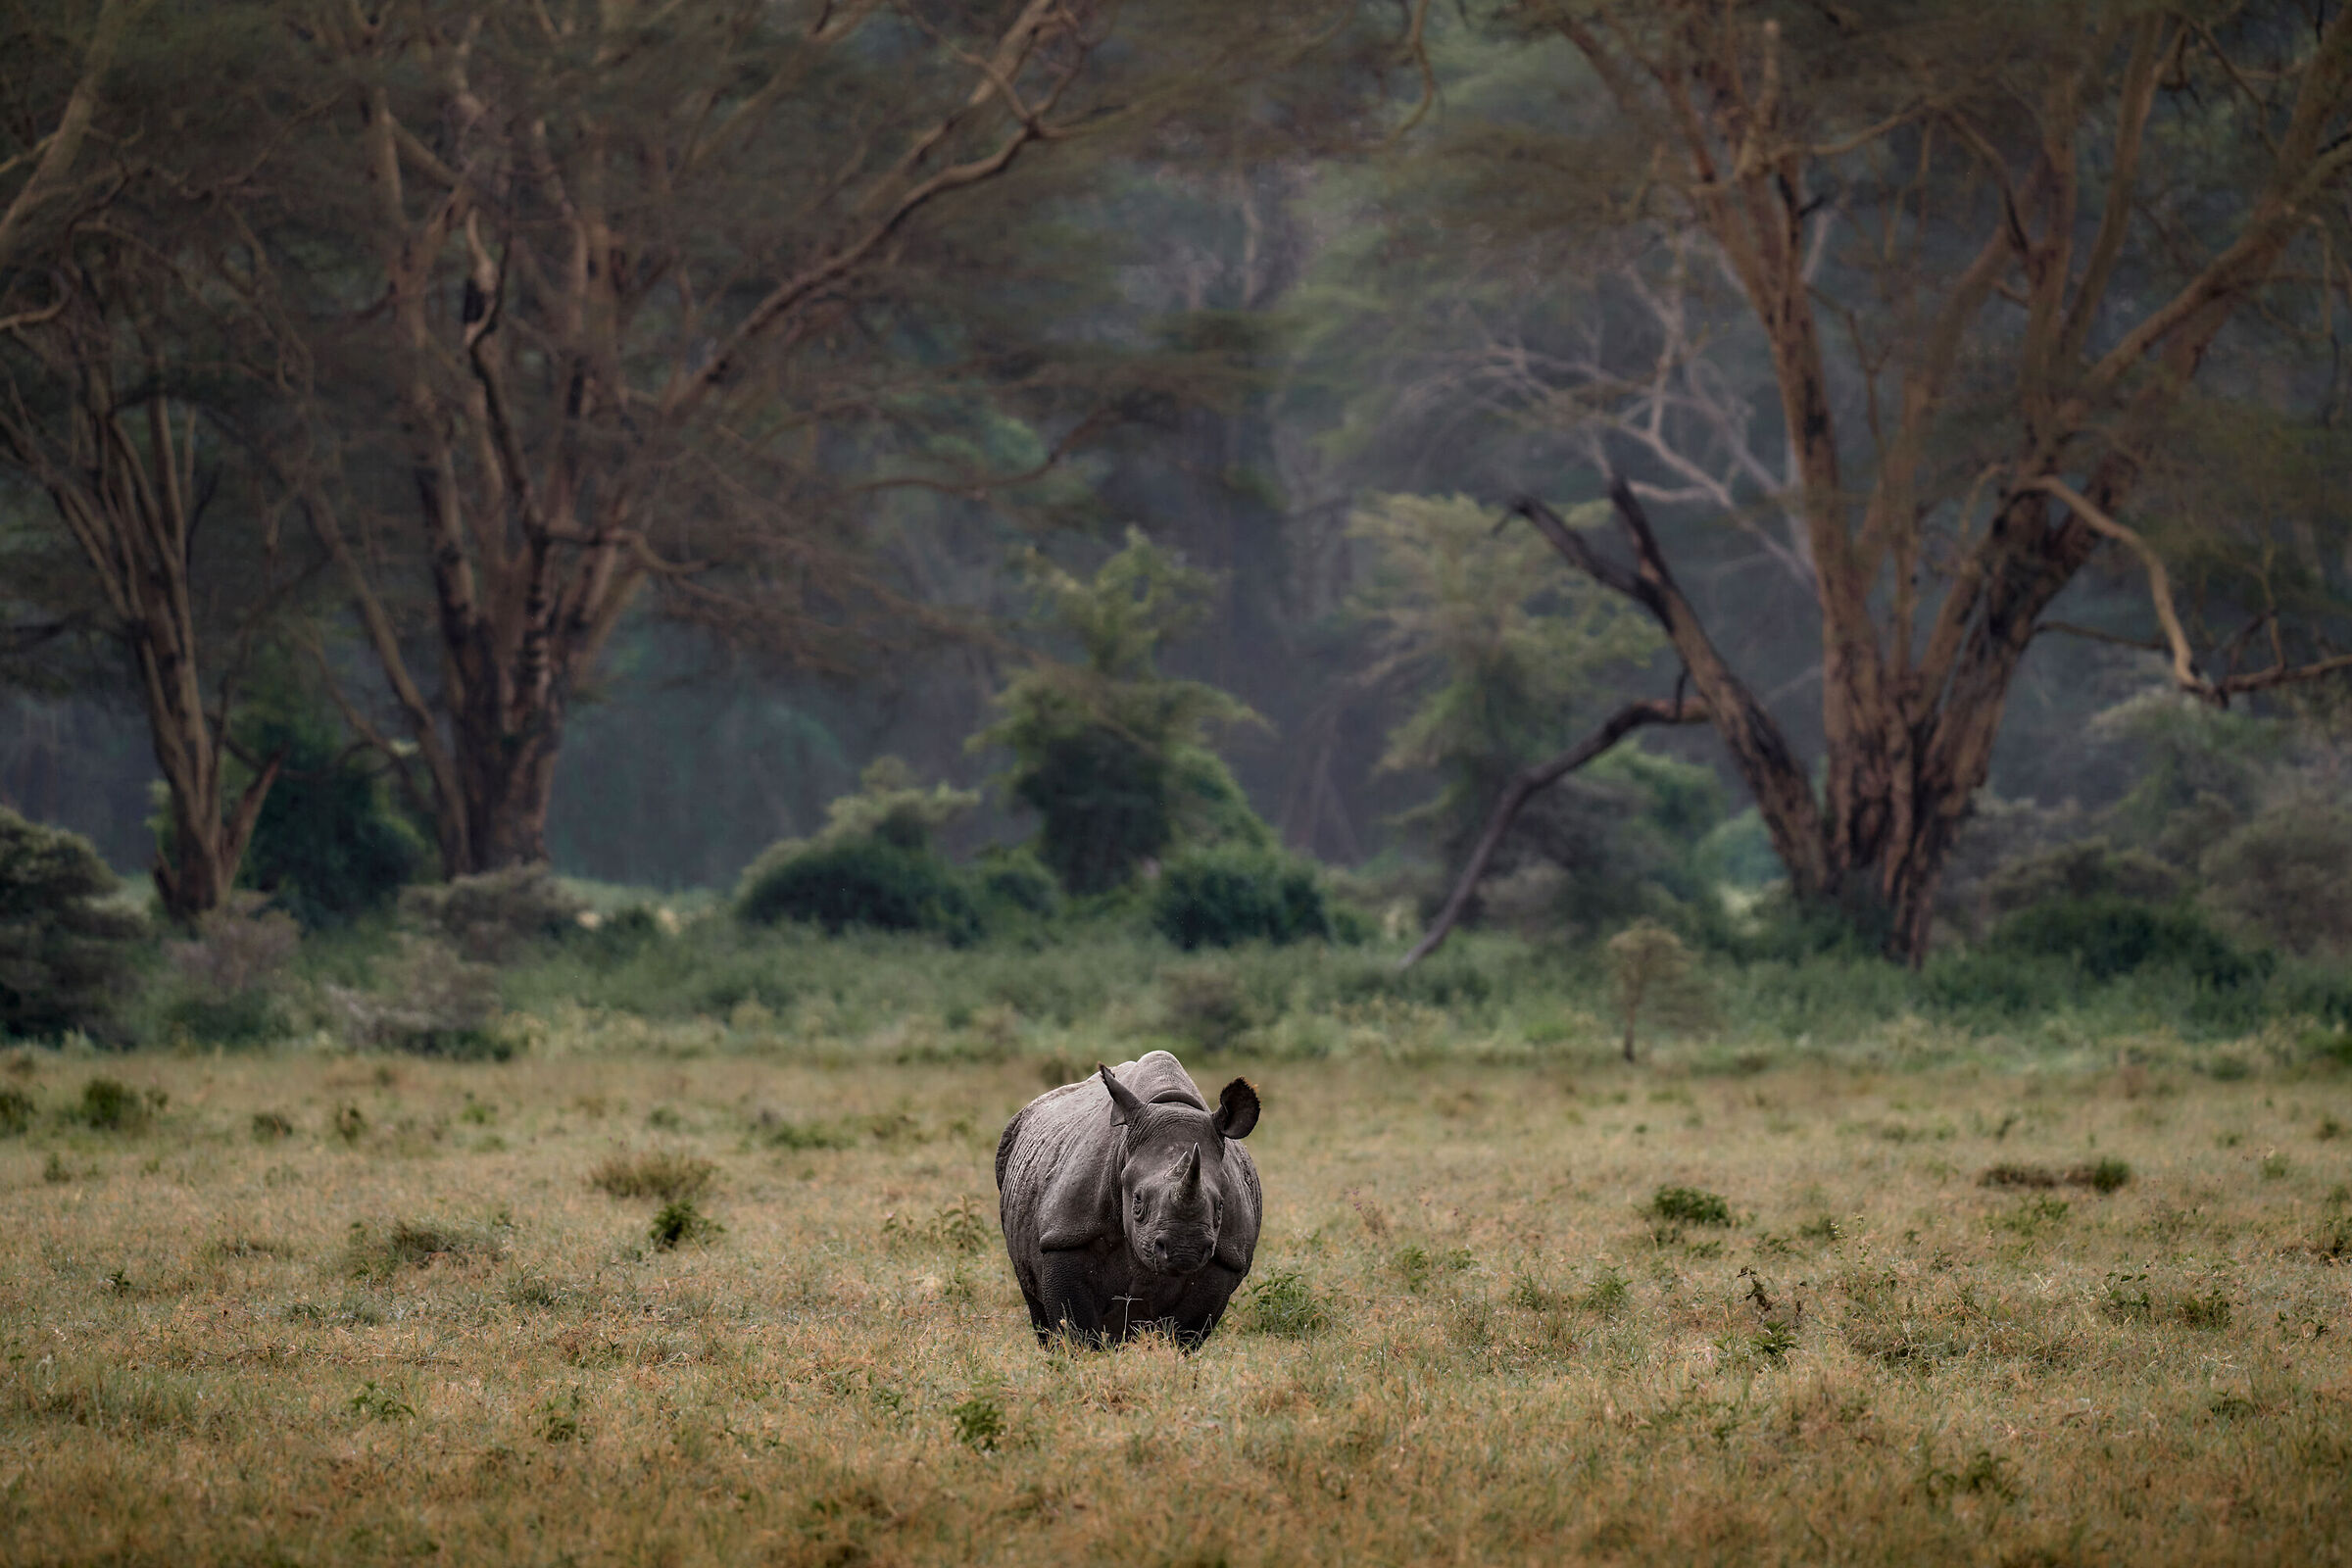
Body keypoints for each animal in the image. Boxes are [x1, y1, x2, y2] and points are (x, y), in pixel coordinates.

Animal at [995, 1049, 1261, 1346]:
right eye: (1137, 1200)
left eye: (1220, 1206)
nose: (1184, 1250)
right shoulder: (1066, 1234)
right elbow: (1074, 1327)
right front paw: (1078, 1356)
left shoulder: (1225, 1258)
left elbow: (1183, 1333)